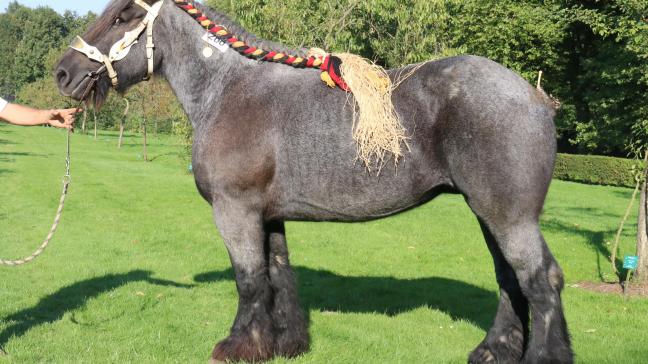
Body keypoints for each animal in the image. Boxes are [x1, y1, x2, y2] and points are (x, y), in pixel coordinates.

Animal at [54, 1, 572, 362]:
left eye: (123, 15)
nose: (63, 73)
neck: (228, 89)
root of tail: (536, 96)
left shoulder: (235, 210)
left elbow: (249, 279)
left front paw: (238, 345)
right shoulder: (268, 215)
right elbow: (278, 275)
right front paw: (284, 344)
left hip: (508, 216)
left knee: (540, 280)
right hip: (488, 213)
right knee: (511, 281)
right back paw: (492, 351)